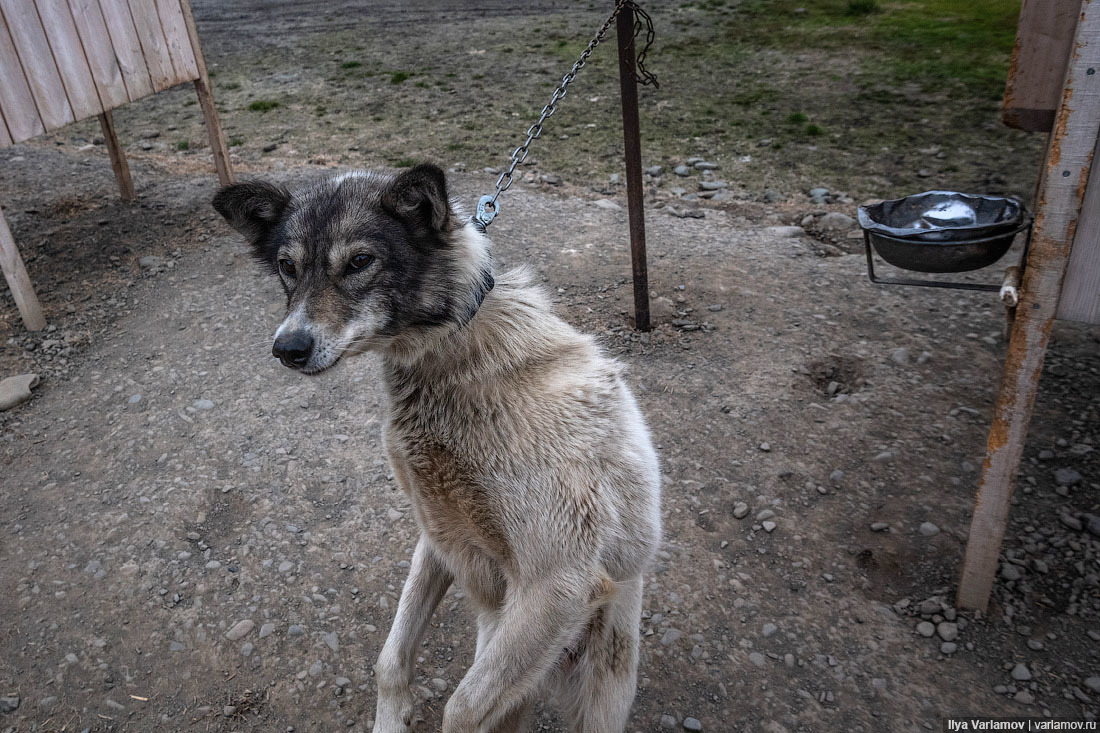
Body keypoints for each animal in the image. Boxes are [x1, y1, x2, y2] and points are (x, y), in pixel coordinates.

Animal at [214, 165, 660, 730]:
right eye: (287, 267)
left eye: (359, 262)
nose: (287, 348)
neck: (447, 357)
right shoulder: (437, 535)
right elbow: (390, 660)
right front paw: (390, 718)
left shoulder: (560, 583)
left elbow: (461, 710)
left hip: (594, 686)